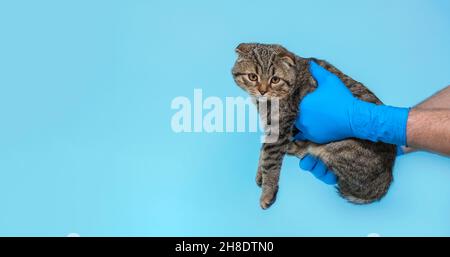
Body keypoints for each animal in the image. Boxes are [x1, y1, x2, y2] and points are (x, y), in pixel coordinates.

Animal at [230, 43, 396, 209]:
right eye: (253, 77)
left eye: (275, 79)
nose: (262, 91)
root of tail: (388, 176)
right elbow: (264, 149)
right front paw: (260, 174)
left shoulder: (281, 125)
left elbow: (270, 159)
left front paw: (267, 192)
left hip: (337, 148)